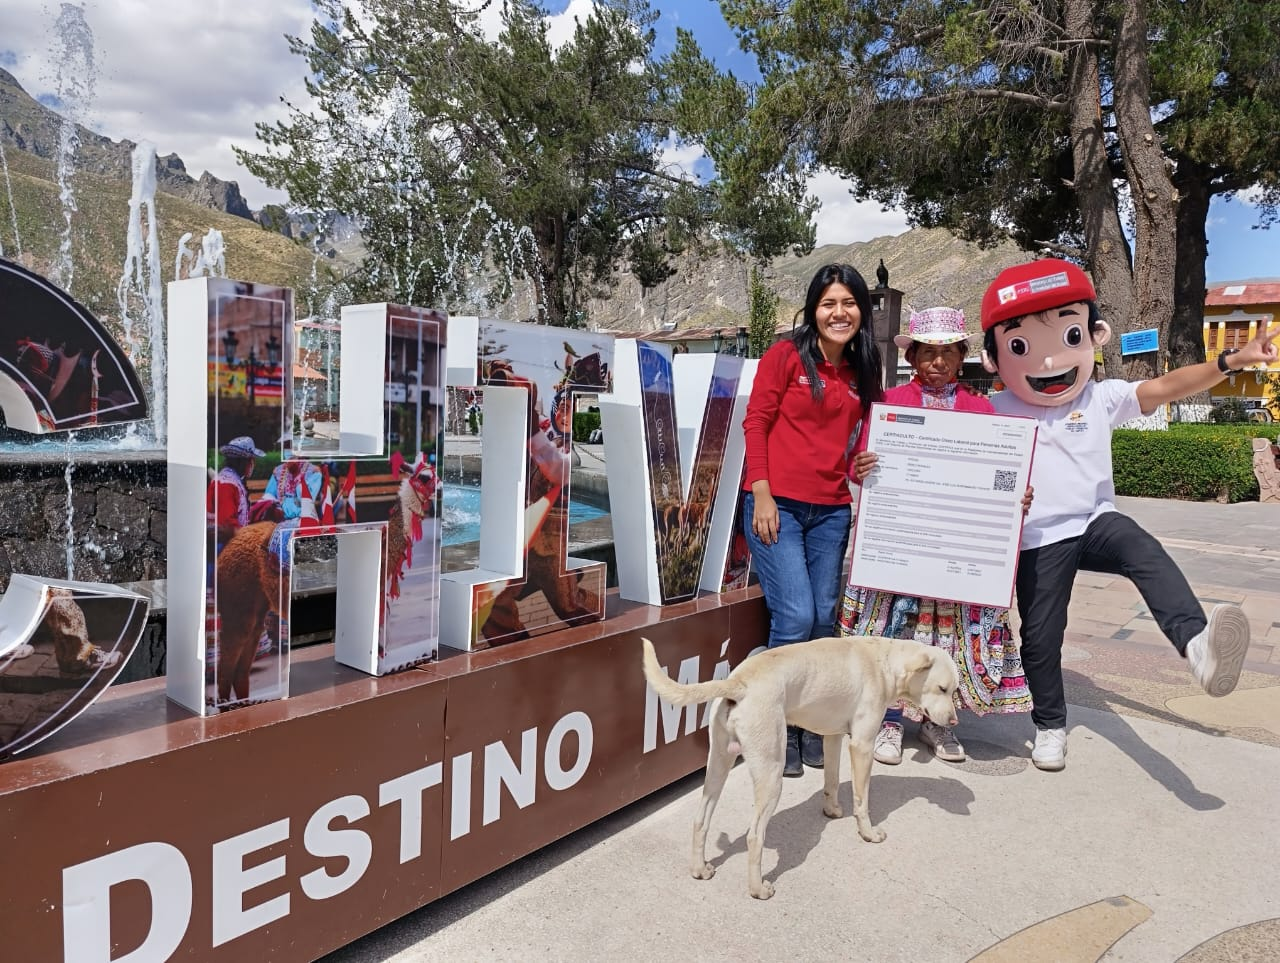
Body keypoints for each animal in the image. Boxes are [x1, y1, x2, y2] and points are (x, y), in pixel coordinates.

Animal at [645, 635, 957, 901]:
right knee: (754, 836)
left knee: (700, 820)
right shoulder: (862, 747)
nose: (954, 721)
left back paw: (700, 869)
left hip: (718, 766)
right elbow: (862, 800)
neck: (883, 660)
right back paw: (758, 889)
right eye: (941, 688)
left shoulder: (832, 737)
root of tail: (739, 681)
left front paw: (831, 810)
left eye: (954, 690)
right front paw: (868, 833)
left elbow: (832, 780)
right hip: (772, 775)